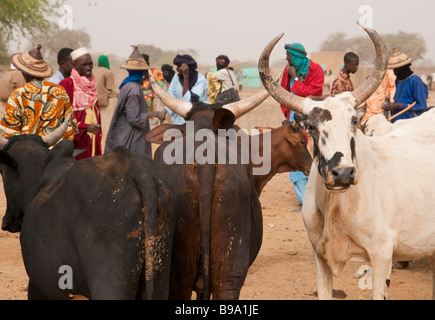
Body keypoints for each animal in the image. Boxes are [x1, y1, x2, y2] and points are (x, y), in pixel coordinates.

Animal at [0, 123, 177, 300]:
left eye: (2, 172)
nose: (8, 222)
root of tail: (134, 168)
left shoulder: (37, 288)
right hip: (159, 281)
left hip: (109, 287)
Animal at [258, 22, 435, 300]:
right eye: (312, 127)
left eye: (354, 121)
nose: (342, 173)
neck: (336, 206)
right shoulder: (318, 256)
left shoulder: (381, 255)